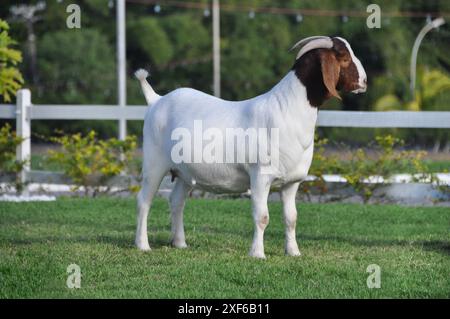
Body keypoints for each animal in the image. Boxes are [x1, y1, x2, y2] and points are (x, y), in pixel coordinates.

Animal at [134, 36, 366, 258]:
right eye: (344, 58)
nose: (364, 81)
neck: (287, 110)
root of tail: (156, 100)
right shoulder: (260, 176)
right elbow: (262, 217)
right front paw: (257, 253)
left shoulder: (292, 182)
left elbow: (291, 218)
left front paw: (293, 252)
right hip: (154, 163)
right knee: (144, 201)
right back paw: (143, 245)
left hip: (184, 173)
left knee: (176, 201)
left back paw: (180, 243)